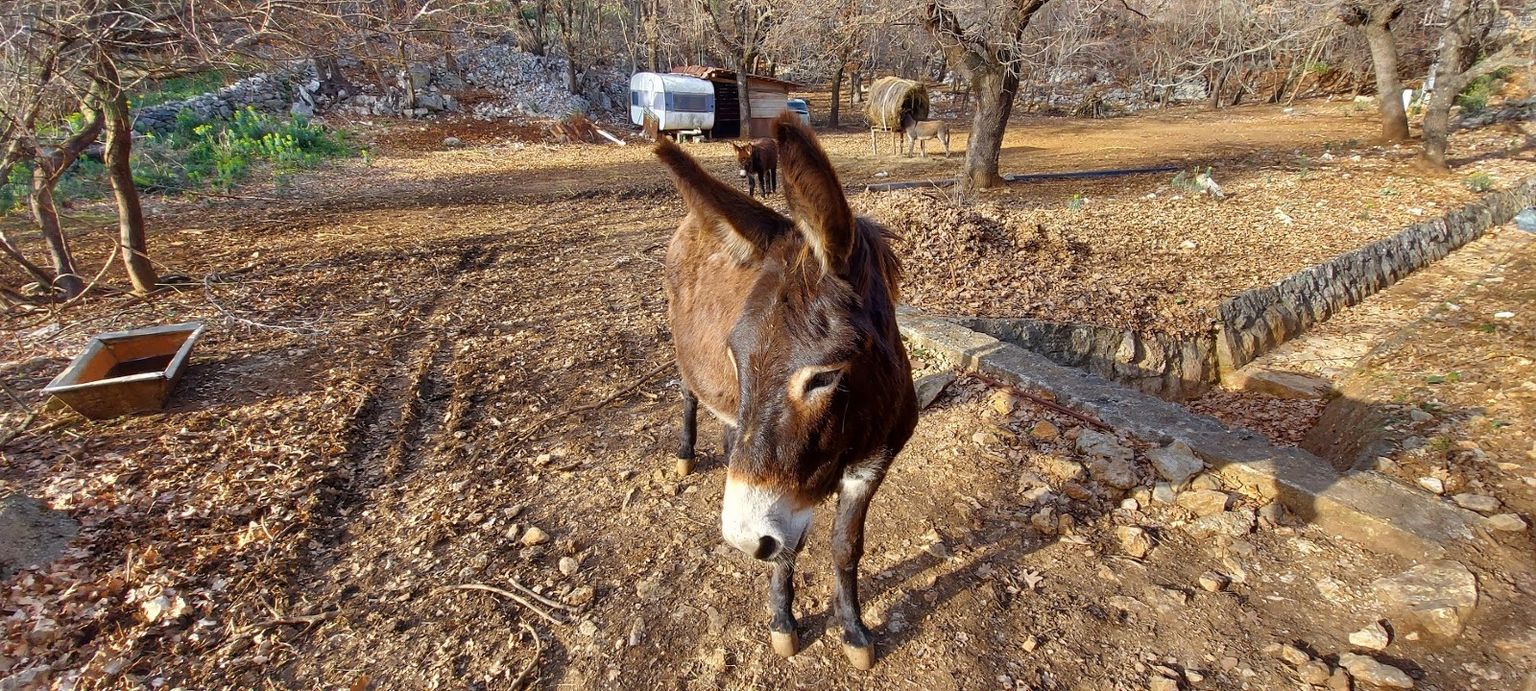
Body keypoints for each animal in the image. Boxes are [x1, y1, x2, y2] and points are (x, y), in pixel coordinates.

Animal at [655, 112, 918, 670]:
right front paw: (783, 622)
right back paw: (687, 452)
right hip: (681, 347)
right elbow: (788, 550)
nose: (739, 536)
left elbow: (846, 547)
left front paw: (853, 631)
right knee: (688, 392)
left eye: (824, 376)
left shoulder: (873, 464)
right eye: (736, 355)